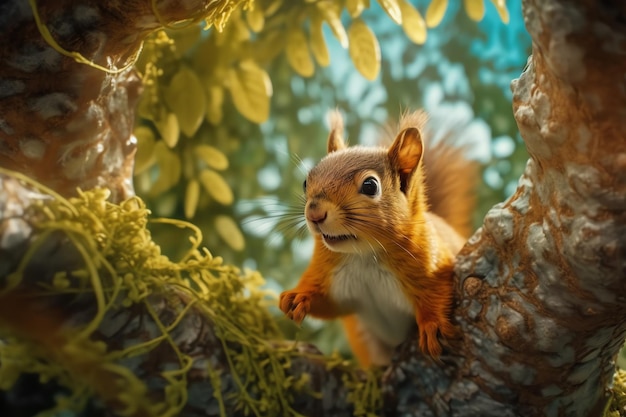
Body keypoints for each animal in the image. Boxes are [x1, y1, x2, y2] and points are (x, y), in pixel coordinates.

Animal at [280, 109, 478, 364]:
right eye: (306, 182)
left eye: (370, 186)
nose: (314, 213)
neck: (365, 255)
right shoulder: (332, 277)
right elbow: (328, 303)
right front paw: (297, 296)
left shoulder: (432, 265)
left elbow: (437, 292)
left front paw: (433, 324)